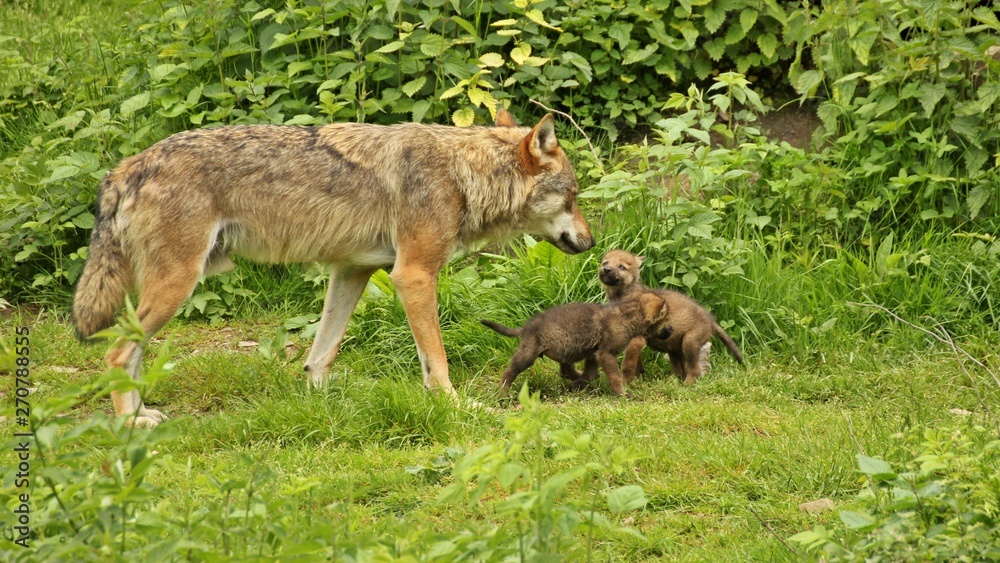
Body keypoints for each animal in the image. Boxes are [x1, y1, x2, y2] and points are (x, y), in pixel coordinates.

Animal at [78, 110, 596, 428]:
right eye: (573, 197)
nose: (591, 243)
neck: (463, 174)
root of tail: (126, 167)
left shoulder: (352, 271)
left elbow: (321, 355)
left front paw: (321, 406)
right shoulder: (414, 276)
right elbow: (437, 361)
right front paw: (458, 406)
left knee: (132, 353)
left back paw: (143, 414)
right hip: (177, 286)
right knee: (117, 355)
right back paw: (129, 424)